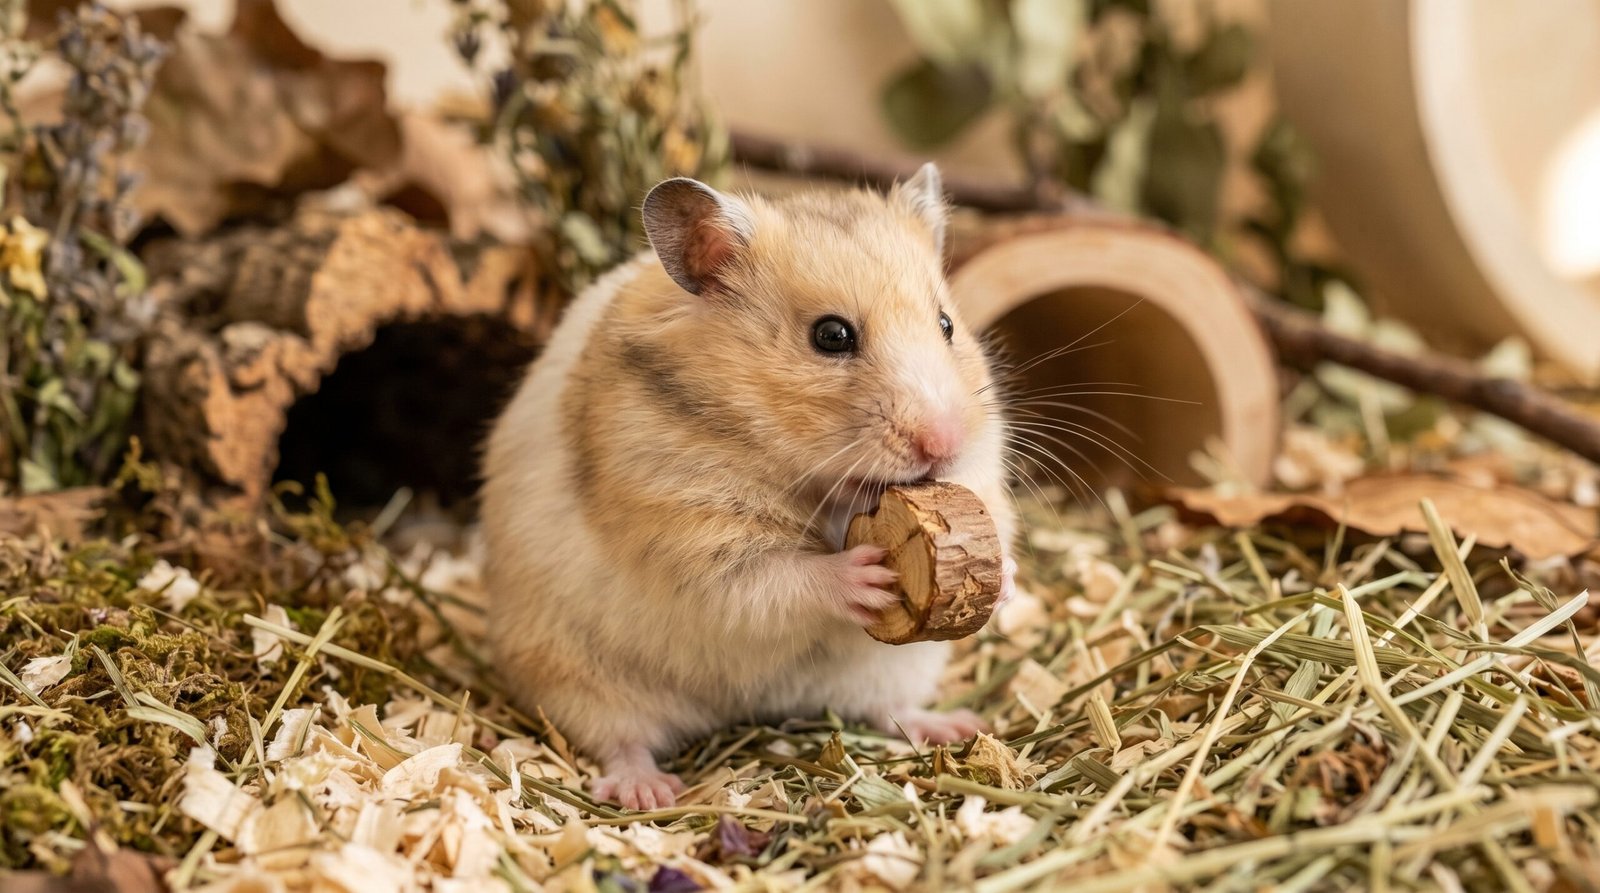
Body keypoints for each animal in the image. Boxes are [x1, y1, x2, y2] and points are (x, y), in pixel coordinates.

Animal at [481, 164, 1017, 810]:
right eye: (831, 336)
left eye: (946, 325)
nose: (944, 442)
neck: (823, 485)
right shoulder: (691, 532)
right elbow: (774, 578)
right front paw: (871, 574)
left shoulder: (983, 472)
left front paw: (1005, 583)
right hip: (578, 674)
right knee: (620, 740)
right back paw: (649, 792)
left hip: (899, 668)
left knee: (888, 710)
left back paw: (958, 726)